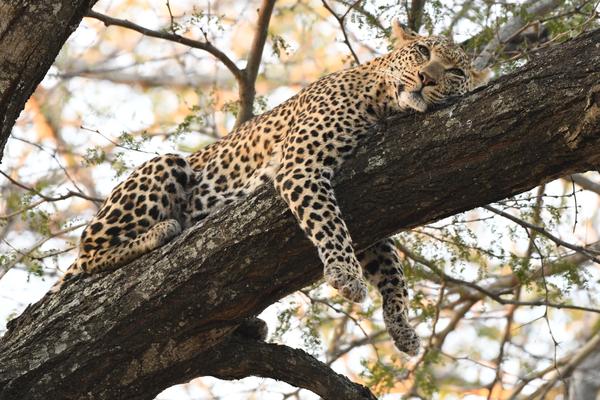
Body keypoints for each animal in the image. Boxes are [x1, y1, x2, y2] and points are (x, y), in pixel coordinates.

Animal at [52, 22, 490, 356]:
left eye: (455, 72)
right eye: (421, 51)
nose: (427, 78)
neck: (385, 101)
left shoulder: (373, 214)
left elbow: (392, 270)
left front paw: (402, 327)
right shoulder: (301, 165)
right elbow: (330, 224)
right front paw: (345, 275)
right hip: (166, 164)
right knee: (85, 255)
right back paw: (160, 231)